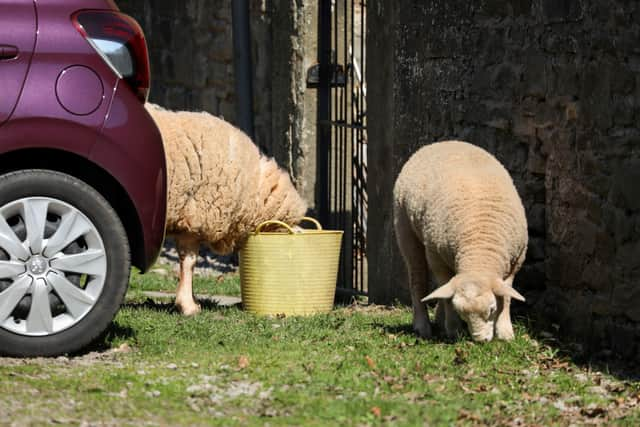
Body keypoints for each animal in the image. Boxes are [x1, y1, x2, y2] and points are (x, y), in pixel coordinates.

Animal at [146, 103, 306, 316]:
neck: (253, 187)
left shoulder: (187, 218)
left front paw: (187, 301)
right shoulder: (196, 216)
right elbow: (189, 262)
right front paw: (188, 306)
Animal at [392, 140, 528, 342]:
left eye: (492, 309)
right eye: (462, 313)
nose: (480, 340)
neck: (479, 250)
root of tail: (441, 143)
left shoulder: (515, 261)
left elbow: (506, 296)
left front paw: (505, 332)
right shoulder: (437, 258)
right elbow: (448, 298)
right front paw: (453, 329)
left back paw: (438, 320)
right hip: (406, 229)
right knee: (418, 279)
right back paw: (423, 326)